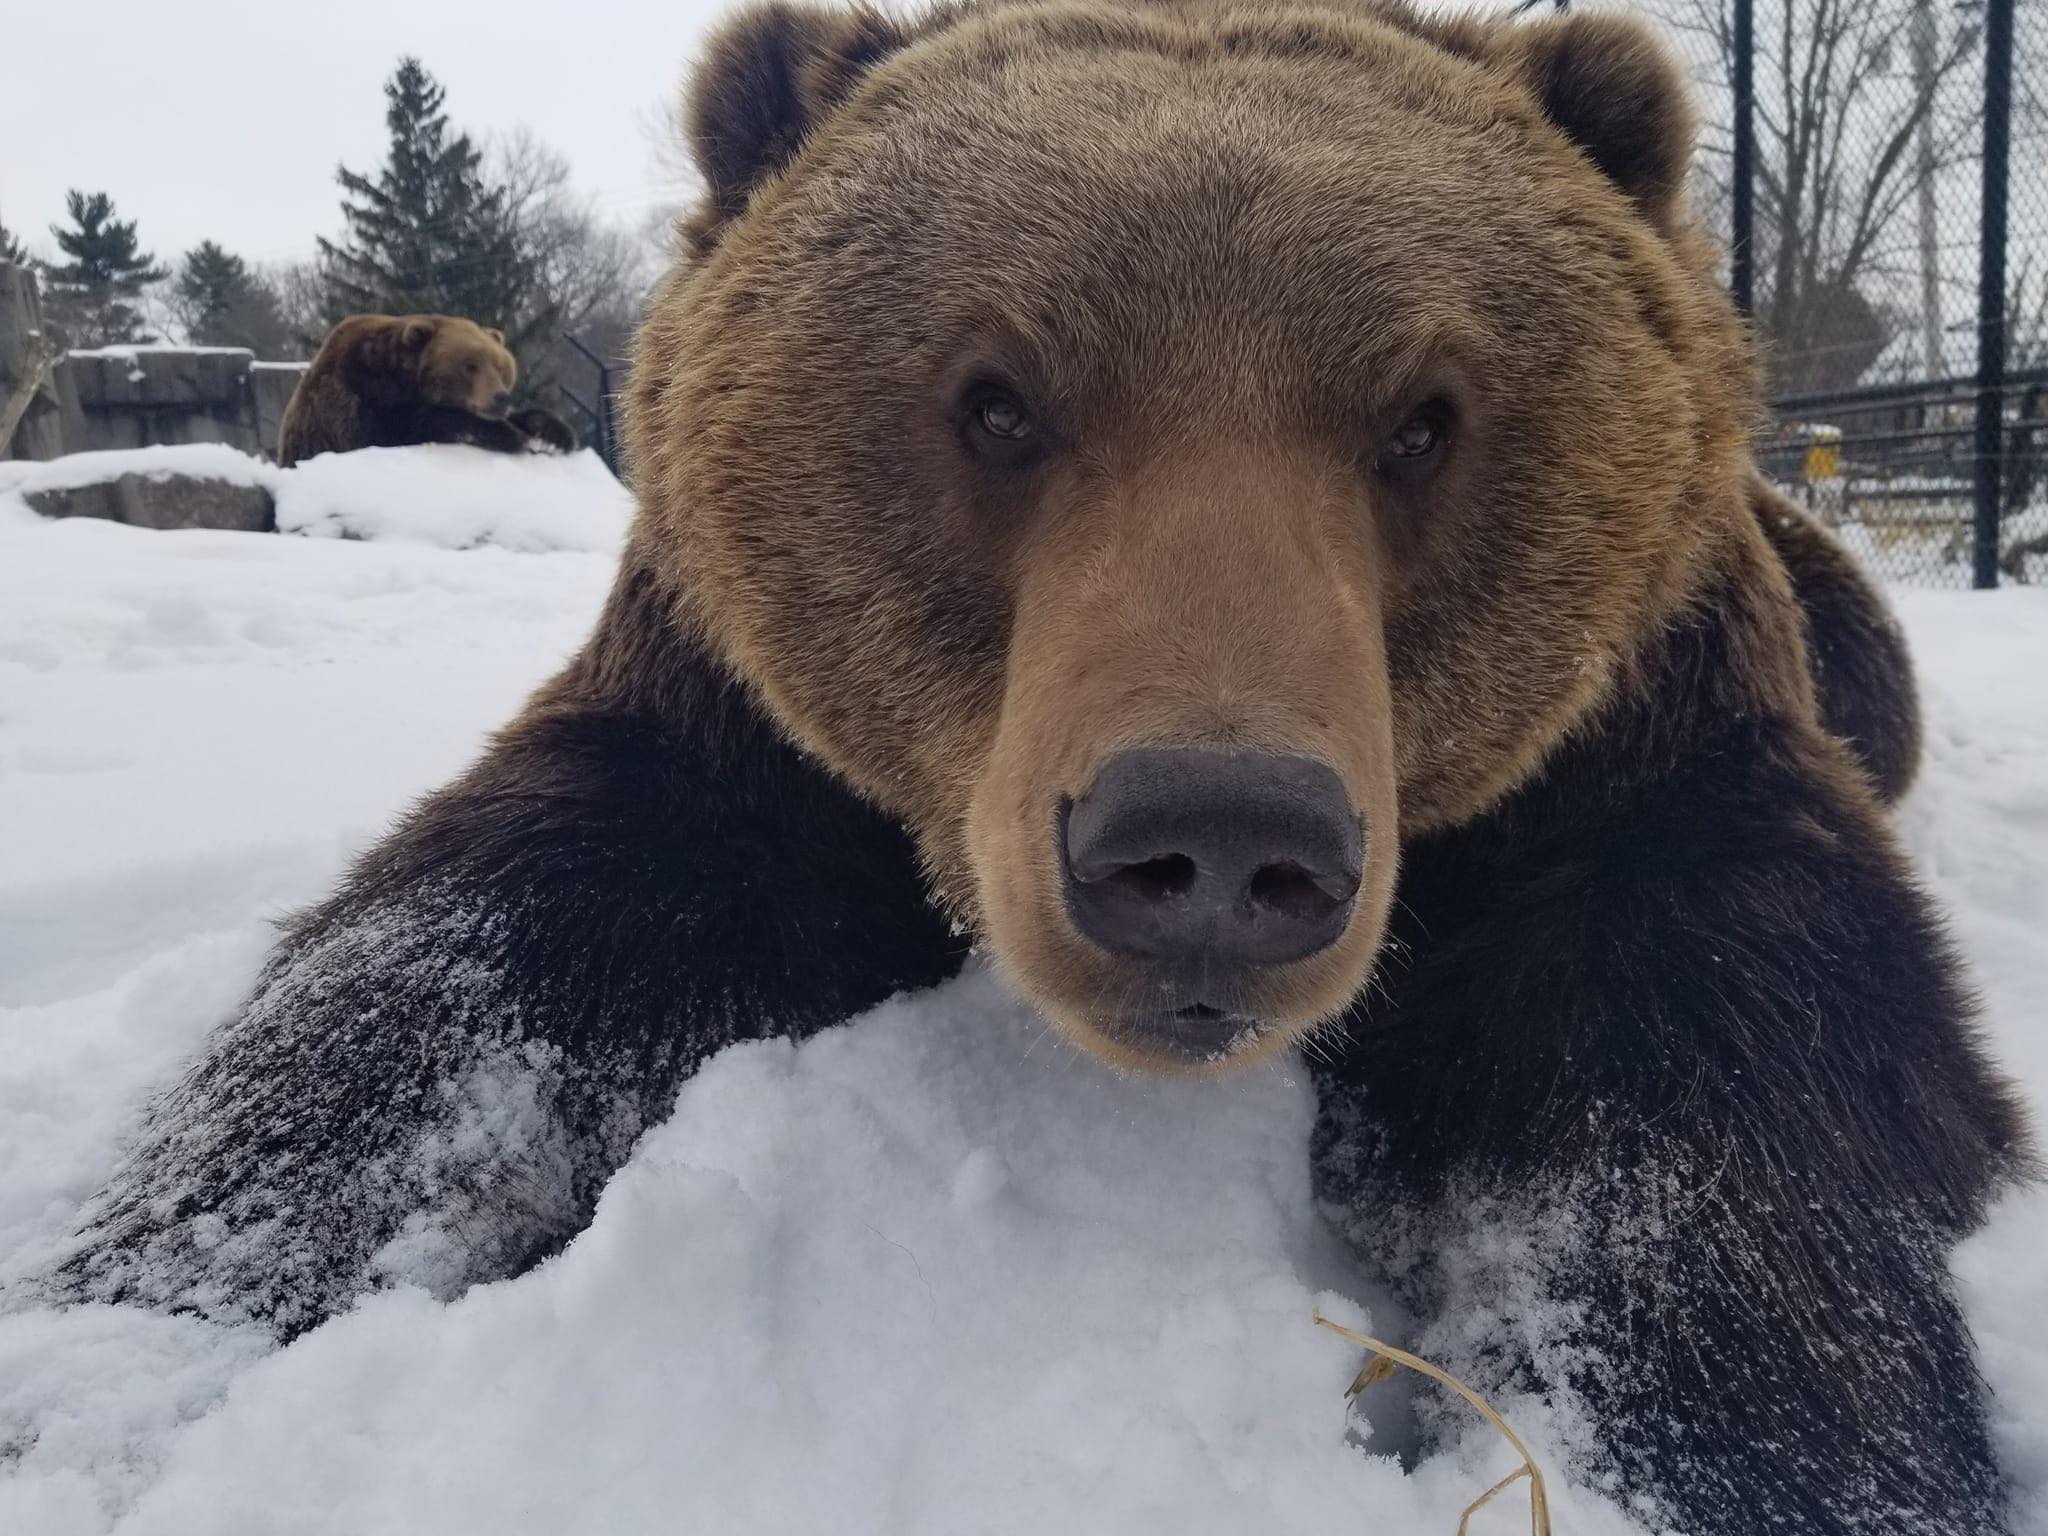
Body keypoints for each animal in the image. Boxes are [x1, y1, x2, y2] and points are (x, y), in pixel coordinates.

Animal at [272, 313, 577, 468]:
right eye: (470, 365)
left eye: (501, 366)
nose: (500, 397)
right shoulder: (357, 395)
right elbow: (407, 426)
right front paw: (509, 434)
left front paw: (553, 432)